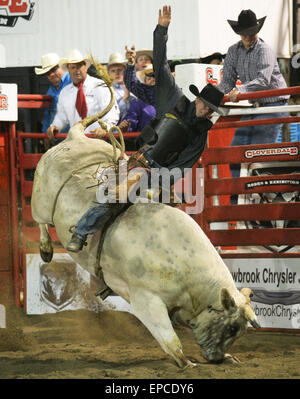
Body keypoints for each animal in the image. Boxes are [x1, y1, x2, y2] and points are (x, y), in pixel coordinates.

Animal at [31, 107, 260, 368]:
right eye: (232, 328)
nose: (217, 358)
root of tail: (75, 138)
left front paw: (231, 358)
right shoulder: (146, 300)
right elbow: (169, 339)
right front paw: (186, 363)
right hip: (40, 202)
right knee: (40, 222)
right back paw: (47, 248)